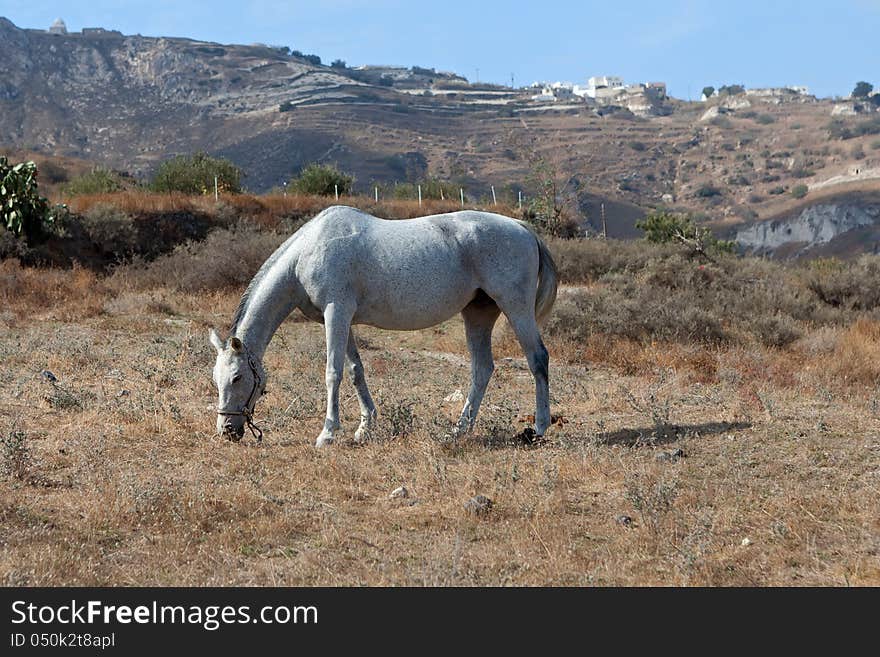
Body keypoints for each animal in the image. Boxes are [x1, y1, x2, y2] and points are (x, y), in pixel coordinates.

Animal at [210, 205, 556, 446]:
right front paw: (365, 427)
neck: (309, 251)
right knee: (482, 368)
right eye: (216, 380)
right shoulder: (341, 319)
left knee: (537, 359)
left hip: (515, 307)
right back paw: (459, 430)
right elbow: (355, 371)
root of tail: (523, 228)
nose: (227, 430)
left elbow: (333, 372)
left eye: (238, 378)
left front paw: (328, 433)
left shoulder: (336, 313)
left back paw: (539, 427)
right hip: (478, 314)